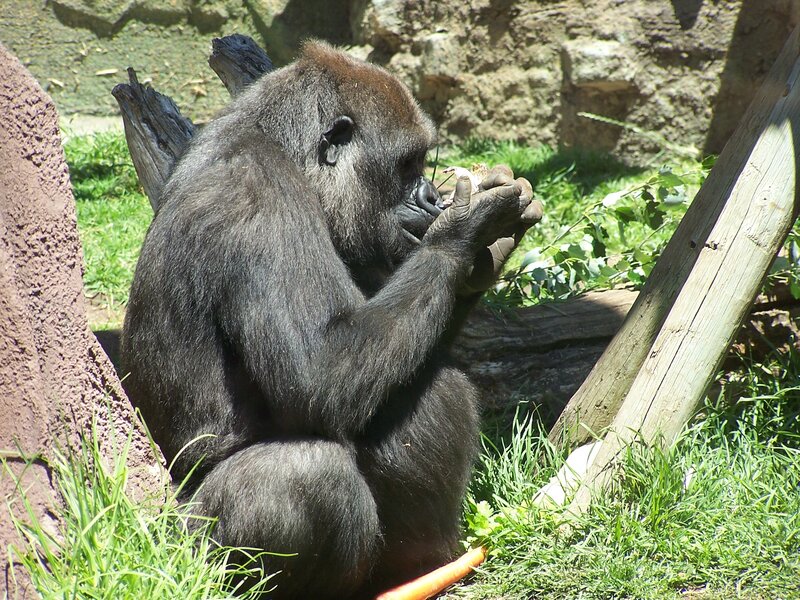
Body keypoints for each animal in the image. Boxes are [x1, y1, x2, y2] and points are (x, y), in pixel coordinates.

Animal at [121, 41, 541, 599]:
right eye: (406, 165)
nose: (432, 197)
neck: (288, 153)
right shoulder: (260, 199)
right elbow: (321, 373)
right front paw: (464, 232)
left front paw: (486, 255)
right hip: (183, 553)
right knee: (307, 474)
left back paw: (414, 571)